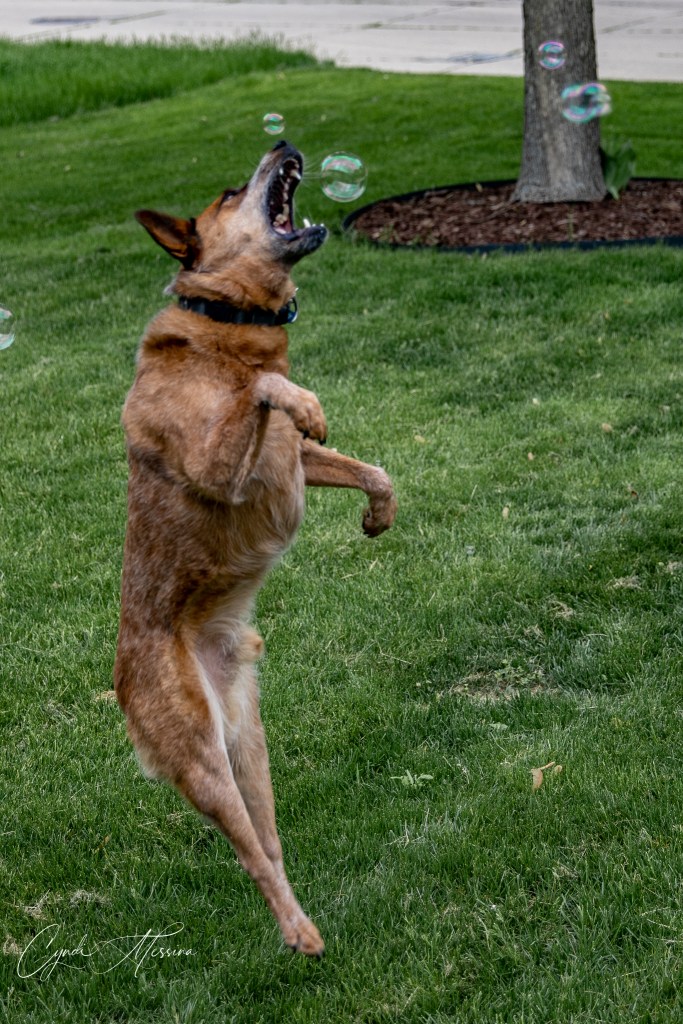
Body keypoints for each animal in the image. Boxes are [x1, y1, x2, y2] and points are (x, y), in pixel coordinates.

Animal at [114, 140, 397, 957]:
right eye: (229, 191)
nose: (284, 145)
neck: (227, 323)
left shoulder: (291, 463)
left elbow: (374, 468)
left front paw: (378, 516)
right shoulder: (217, 462)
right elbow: (267, 386)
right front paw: (300, 397)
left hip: (248, 742)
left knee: (267, 842)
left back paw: (301, 916)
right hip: (202, 758)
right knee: (248, 856)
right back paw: (298, 934)